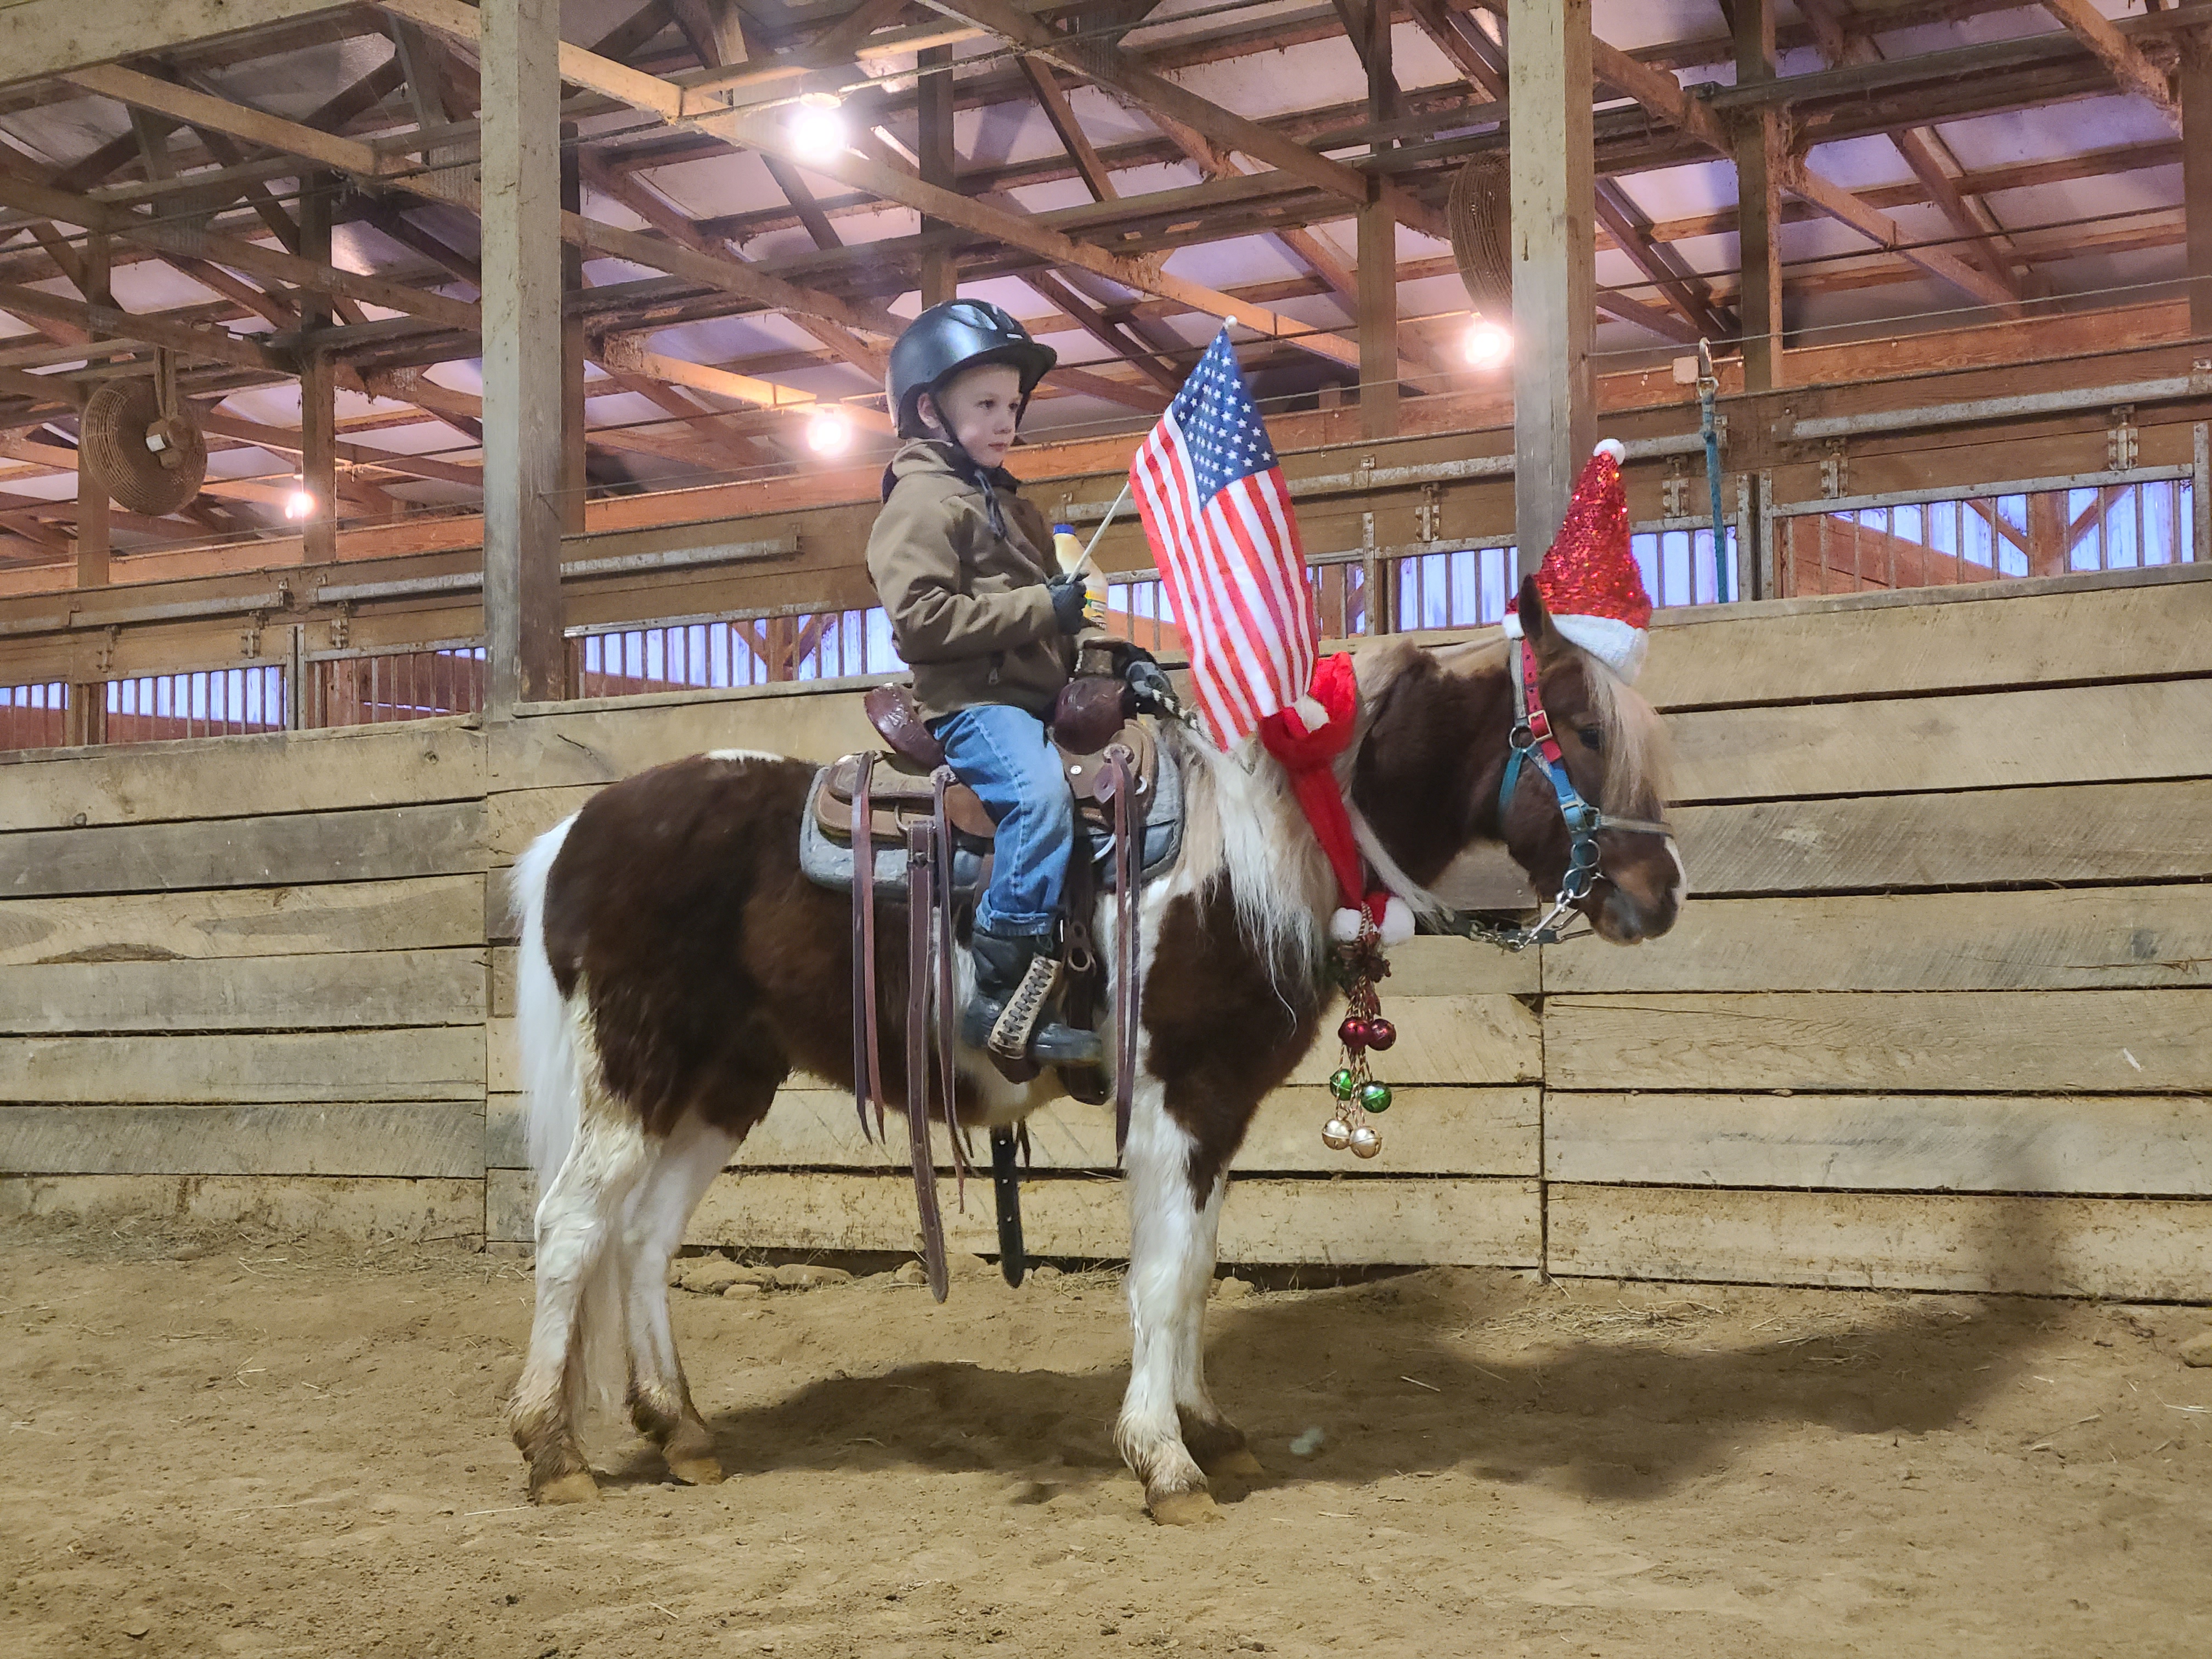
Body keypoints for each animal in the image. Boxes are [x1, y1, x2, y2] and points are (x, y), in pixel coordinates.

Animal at [502, 579, 1683, 1523]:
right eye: (1582, 727)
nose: (1660, 896)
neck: (1254, 852)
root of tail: (575, 834)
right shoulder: (1176, 1099)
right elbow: (1161, 1277)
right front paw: (1164, 1463)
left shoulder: (1220, 1108)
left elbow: (1198, 1269)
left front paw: (1210, 1430)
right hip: (637, 1070)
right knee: (571, 1226)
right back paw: (551, 1451)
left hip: (722, 1083)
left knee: (645, 1236)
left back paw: (682, 1428)